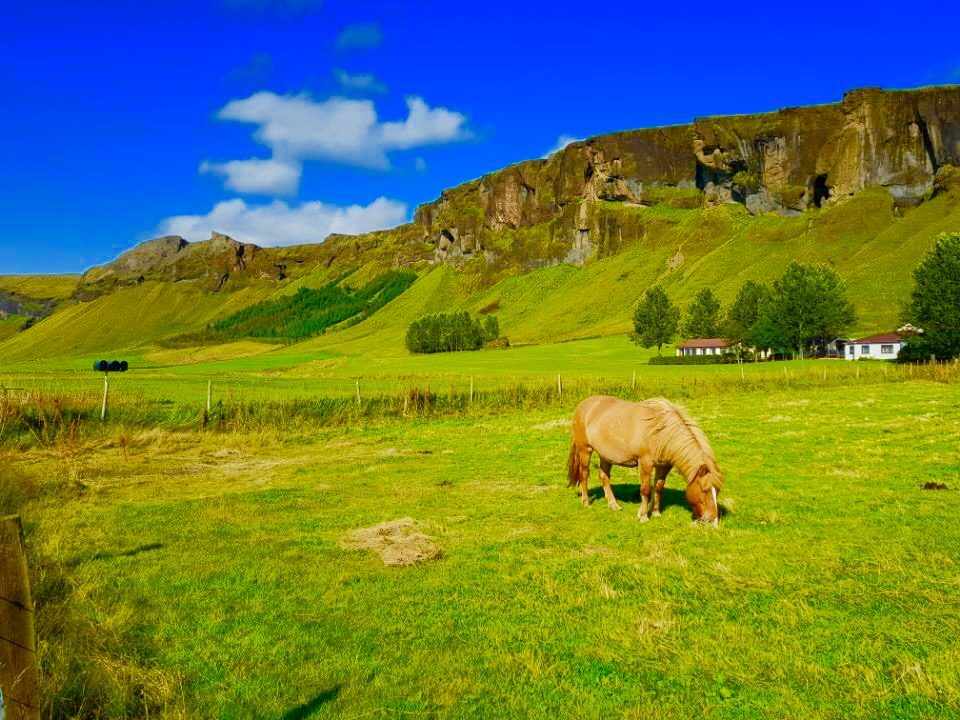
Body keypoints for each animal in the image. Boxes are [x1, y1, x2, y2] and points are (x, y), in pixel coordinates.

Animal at [566, 395, 724, 526]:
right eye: (704, 490)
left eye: (717, 491)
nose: (713, 521)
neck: (661, 433)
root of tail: (582, 405)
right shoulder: (645, 463)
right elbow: (645, 489)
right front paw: (643, 516)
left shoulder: (664, 466)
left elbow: (658, 488)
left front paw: (656, 513)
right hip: (585, 450)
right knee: (584, 475)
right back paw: (586, 502)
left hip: (606, 455)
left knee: (604, 477)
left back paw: (613, 505)